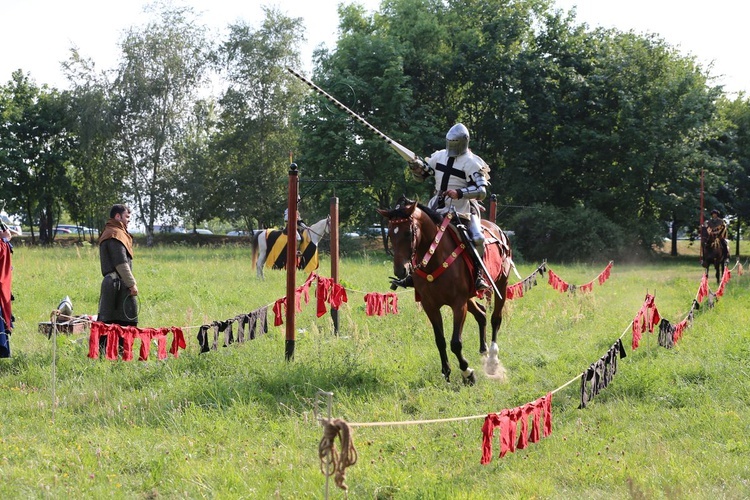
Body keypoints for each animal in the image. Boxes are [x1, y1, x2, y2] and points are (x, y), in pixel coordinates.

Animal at [378, 197, 516, 384]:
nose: (401, 271)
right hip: (470, 297)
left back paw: (493, 360)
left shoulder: (458, 304)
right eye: (391, 234)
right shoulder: (430, 306)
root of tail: (499, 230)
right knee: (481, 314)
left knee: (495, 319)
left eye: (408, 233)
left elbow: (455, 343)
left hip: (501, 283)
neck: (435, 257)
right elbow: (440, 340)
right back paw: (483, 350)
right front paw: (446, 371)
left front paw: (467, 373)